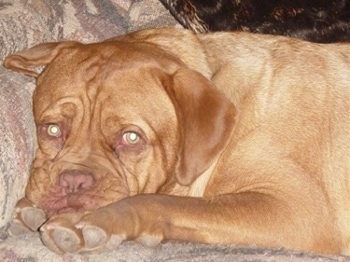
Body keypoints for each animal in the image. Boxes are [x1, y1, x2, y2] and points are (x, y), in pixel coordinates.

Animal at [3, 27, 350, 255]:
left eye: (131, 137)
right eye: (51, 129)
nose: (74, 181)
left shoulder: (297, 208)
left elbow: (161, 202)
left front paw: (86, 221)